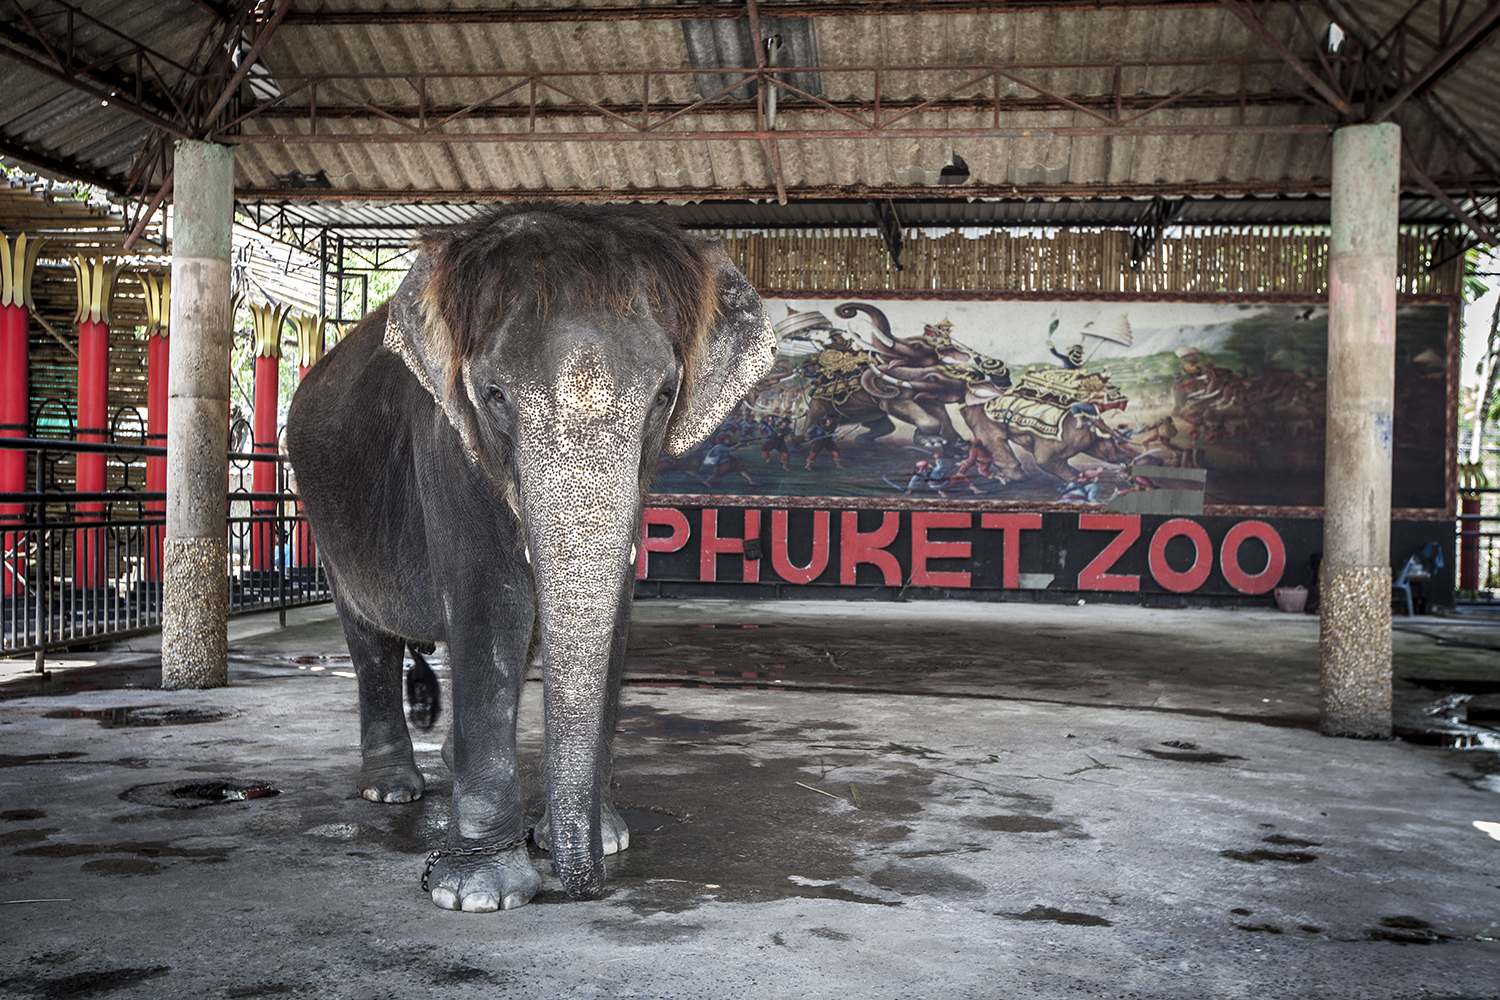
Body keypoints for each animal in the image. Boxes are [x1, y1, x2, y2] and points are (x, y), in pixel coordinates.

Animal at [283, 200, 774, 905]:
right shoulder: (446, 444)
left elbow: (614, 618)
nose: (586, 885)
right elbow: (495, 605)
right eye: (493, 395)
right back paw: (392, 791)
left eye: (663, 397)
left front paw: (607, 838)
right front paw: (474, 893)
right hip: (322, 512)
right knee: (369, 636)